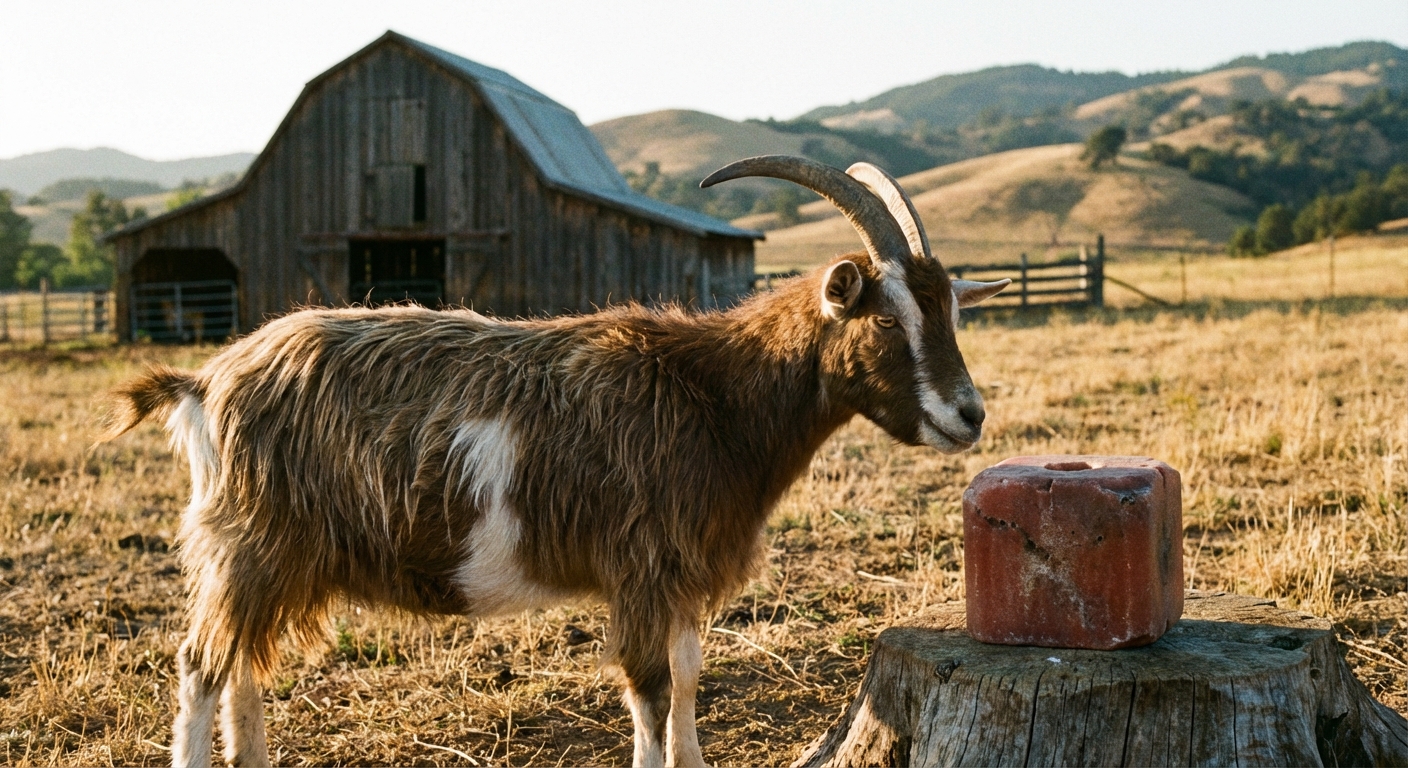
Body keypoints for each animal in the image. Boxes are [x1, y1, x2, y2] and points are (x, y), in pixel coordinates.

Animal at [104, 155, 1009, 768]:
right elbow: (649, 691)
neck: (711, 393)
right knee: (201, 667)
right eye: (887, 319)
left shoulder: (681, 574)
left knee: (240, 669)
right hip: (249, 544)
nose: (969, 415)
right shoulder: (641, 567)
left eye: (953, 310)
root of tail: (207, 381)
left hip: (269, 558)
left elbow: (687, 679)